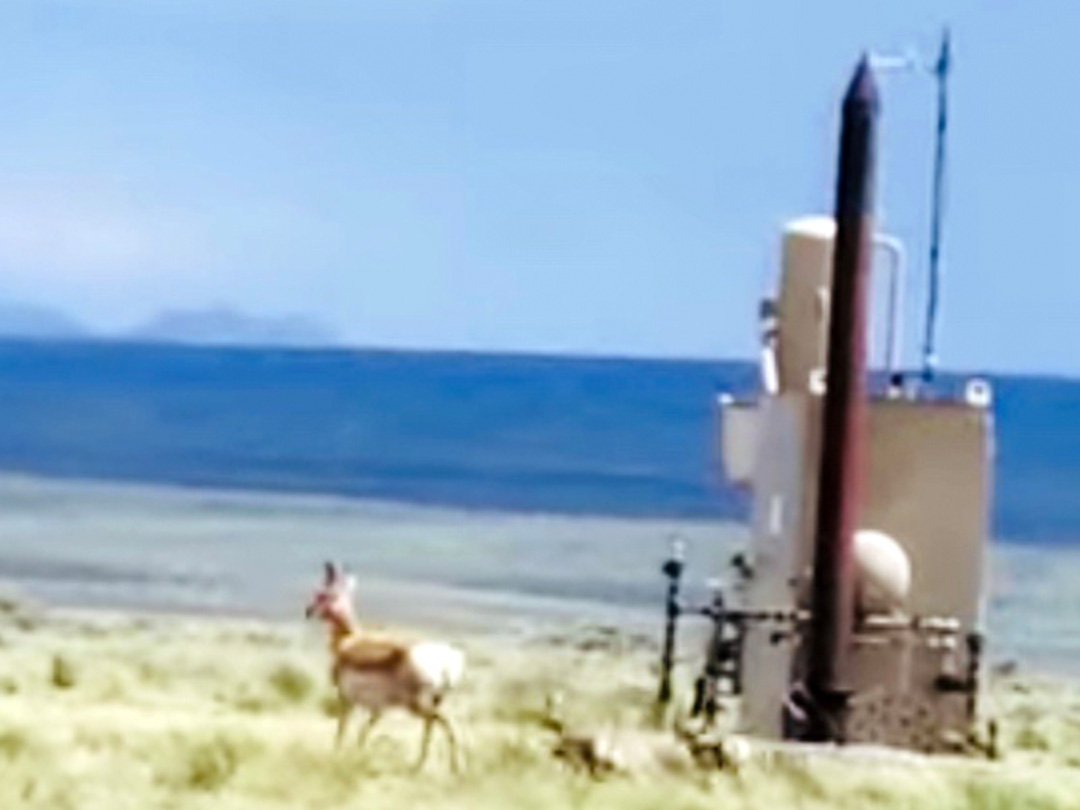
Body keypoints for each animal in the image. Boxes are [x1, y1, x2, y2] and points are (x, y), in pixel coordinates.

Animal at [304, 565, 464, 773]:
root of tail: (445, 659)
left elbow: (342, 728)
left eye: (322, 593)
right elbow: (364, 731)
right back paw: (421, 765)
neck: (348, 642)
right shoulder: (378, 709)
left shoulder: (346, 699)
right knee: (432, 724)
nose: (308, 611)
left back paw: (447, 766)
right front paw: (357, 753)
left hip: (418, 705)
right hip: (432, 702)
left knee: (441, 722)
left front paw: (337, 754)